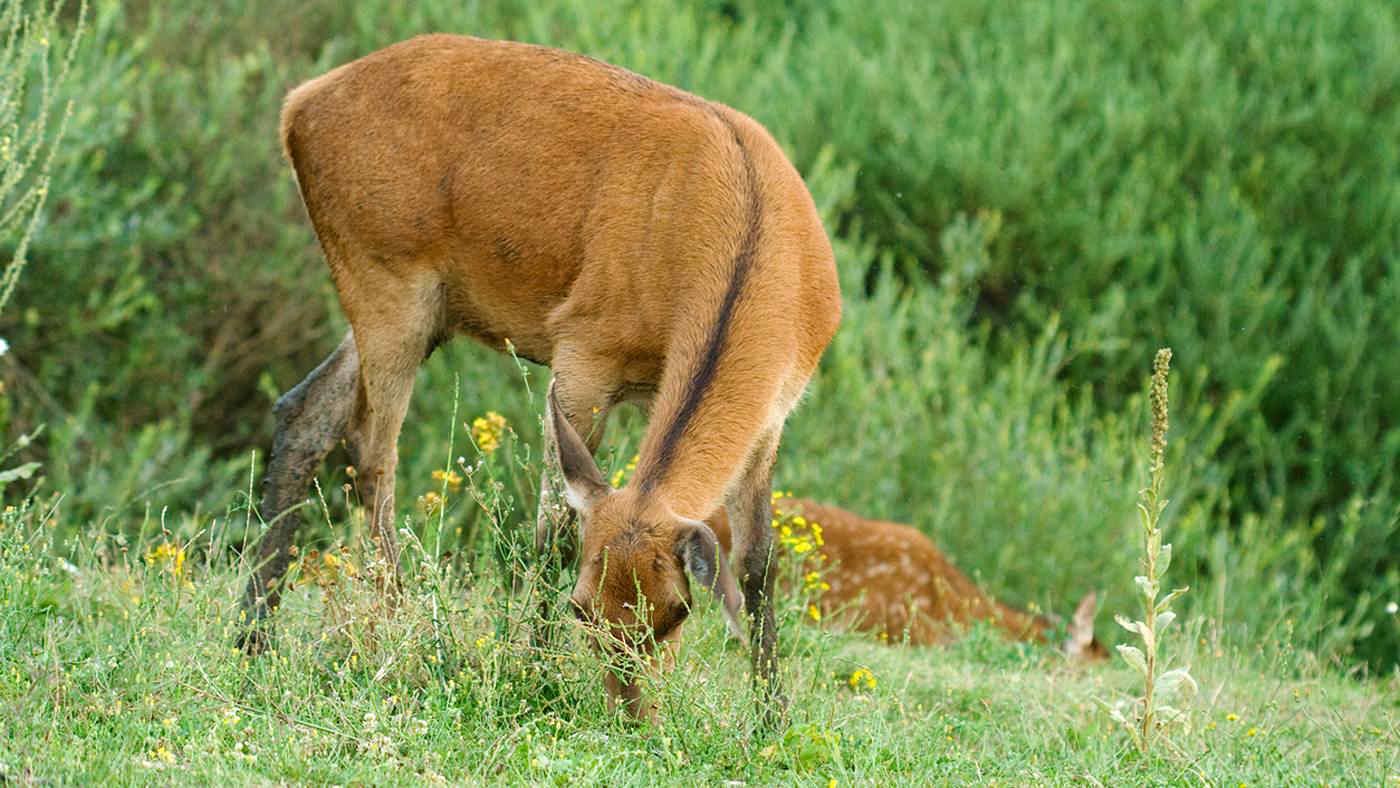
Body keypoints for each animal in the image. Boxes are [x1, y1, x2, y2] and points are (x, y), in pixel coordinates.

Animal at [238, 35, 840, 722]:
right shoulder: (583, 349)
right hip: (384, 275)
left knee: (305, 408)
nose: (630, 712)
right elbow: (555, 532)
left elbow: (758, 565)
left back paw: (253, 638)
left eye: (677, 612)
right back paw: (398, 631)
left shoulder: (774, 413)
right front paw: (536, 670)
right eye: (581, 607)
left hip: (424, 305)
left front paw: (773, 715)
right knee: (371, 450)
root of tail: (298, 106)